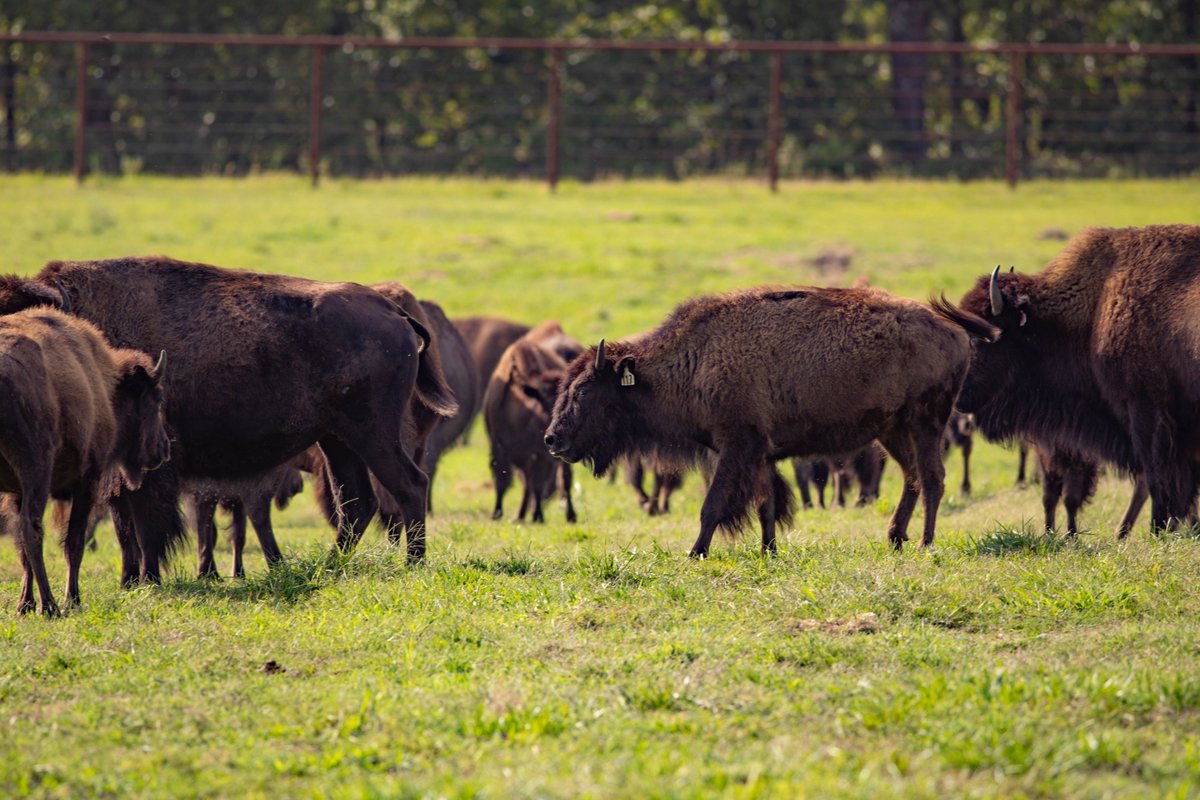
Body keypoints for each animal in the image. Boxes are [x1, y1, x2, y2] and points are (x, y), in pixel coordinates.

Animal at [0, 307, 168, 615]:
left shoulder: (15, 491)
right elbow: (73, 542)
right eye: (158, 398)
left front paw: (25, 604)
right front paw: (72, 600)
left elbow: (22, 551)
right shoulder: (87, 482)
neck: (106, 384)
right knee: (33, 529)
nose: (164, 448)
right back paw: (51, 606)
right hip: (37, 471)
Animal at [547, 285, 986, 556]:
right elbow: (766, 505)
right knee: (912, 477)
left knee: (932, 477)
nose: (553, 439)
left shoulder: (737, 445)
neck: (696, 359)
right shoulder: (761, 453)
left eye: (583, 391)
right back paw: (894, 538)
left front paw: (695, 552)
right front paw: (768, 550)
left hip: (926, 423)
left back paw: (924, 544)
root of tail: (953, 331)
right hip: (892, 431)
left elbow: (713, 504)